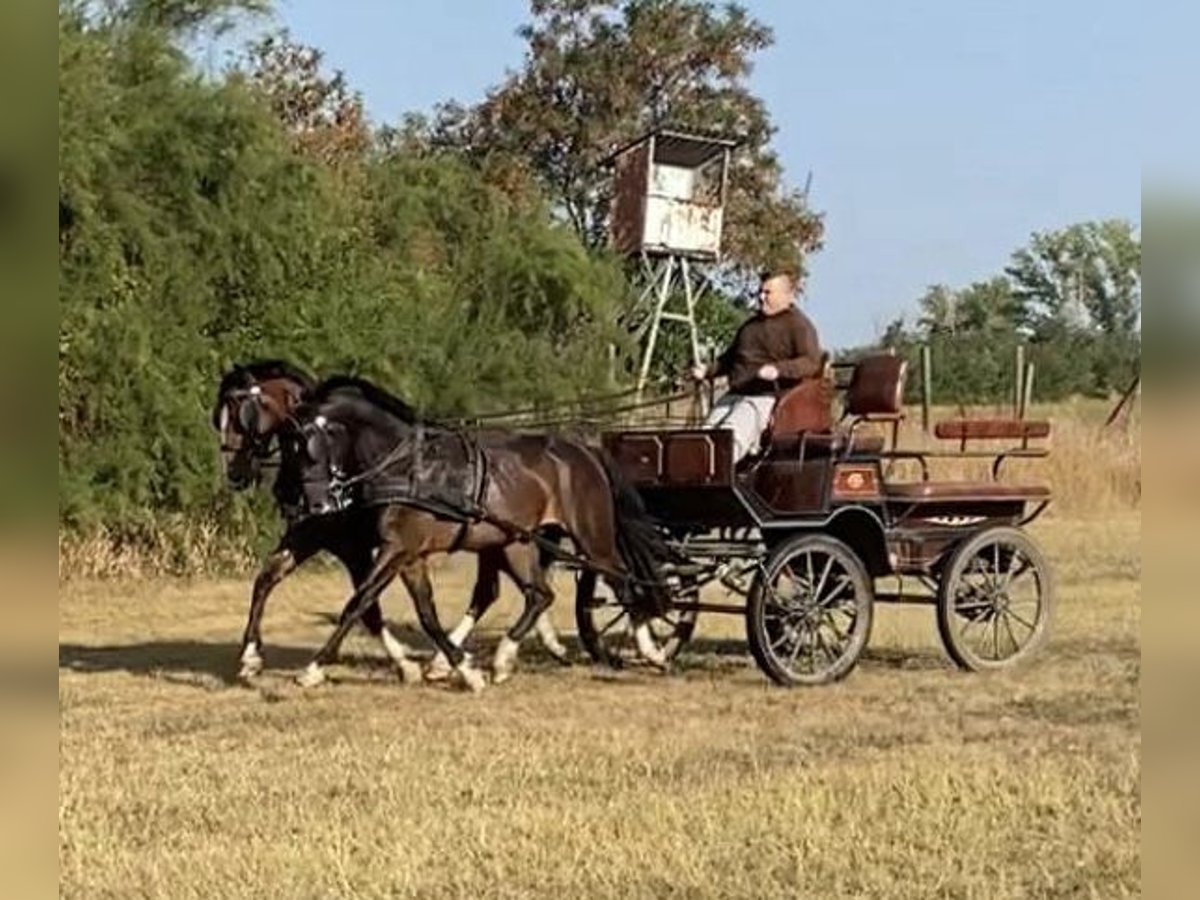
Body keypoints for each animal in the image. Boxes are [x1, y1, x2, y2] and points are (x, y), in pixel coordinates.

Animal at [212, 362, 571, 686]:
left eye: (243, 416)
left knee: (506, 591)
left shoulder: (359, 548)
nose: (235, 474)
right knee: (509, 591)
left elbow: (366, 605)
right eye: (220, 418)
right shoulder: (312, 534)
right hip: (498, 540)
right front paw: (251, 657)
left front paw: (405, 665)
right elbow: (267, 579)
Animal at [280, 376, 676, 696]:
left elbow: (358, 602)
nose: (309, 504)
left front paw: (311, 670)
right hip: (516, 541)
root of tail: (586, 452)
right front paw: (464, 670)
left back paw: (652, 650)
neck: (408, 467)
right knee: (539, 595)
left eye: (307, 445)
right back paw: (502, 661)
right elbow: (425, 613)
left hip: (591, 538)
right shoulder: (410, 554)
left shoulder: (398, 548)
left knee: (623, 582)